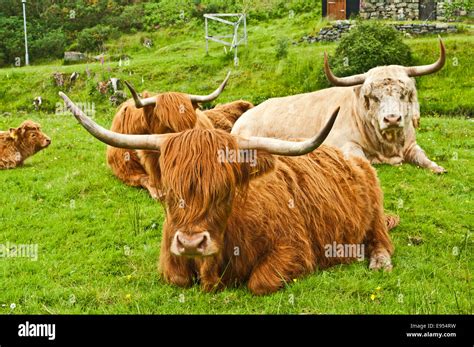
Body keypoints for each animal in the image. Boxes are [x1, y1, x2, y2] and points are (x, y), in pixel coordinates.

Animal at [61, 92, 398, 296]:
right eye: (170, 192)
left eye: (225, 192)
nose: (190, 243)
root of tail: (350, 156)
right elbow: (176, 277)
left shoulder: (296, 249)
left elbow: (260, 282)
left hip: (374, 211)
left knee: (381, 241)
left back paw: (379, 262)